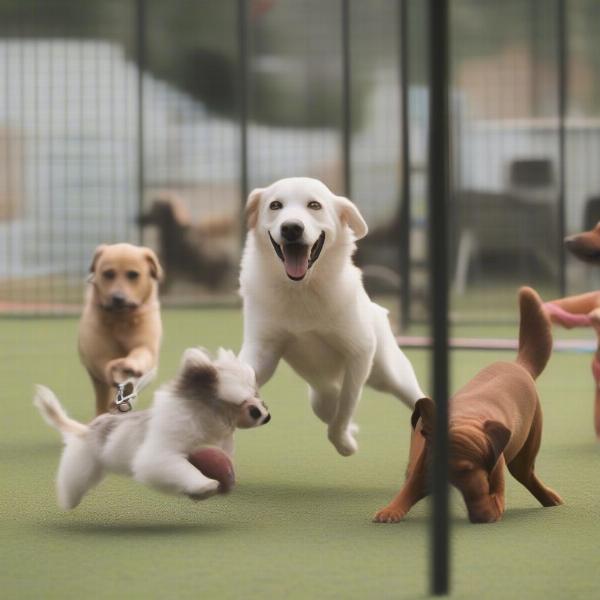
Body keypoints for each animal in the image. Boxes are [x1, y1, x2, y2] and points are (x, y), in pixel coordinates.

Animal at [32, 346, 268, 510]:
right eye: (246, 406)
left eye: (257, 397)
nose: (266, 415)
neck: (204, 419)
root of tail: (87, 429)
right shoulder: (161, 456)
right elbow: (183, 469)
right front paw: (205, 485)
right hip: (82, 465)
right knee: (72, 483)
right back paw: (67, 501)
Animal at [79, 241, 165, 414]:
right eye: (108, 274)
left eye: (133, 274)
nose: (118, 298)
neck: (121, 319)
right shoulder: (98, 356)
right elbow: (106, 366)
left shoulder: (146, 346)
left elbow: (140, 354)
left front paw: (130, 366)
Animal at [237, 176, 424, 458]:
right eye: (275, 205)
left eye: (314, 205)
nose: (291, 228)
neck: (302, 289)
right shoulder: (263, 350)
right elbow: (243, 370)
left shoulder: (359, 353)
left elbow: (345, 407)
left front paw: (344, 442)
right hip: (320, 392)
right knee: (325, 403)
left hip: (392, 374)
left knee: (413, 395)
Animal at [376, 288, 564, 524]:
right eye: (436, 465)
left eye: (465, 469)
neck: (465, 419)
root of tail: (519, 365)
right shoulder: (422, 468)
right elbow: (407, 491)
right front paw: (390, 511)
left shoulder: (491, 482)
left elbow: (487, 498)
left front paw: (482, 511)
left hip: (525, 452)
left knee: (528, 475)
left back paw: (549, 498)